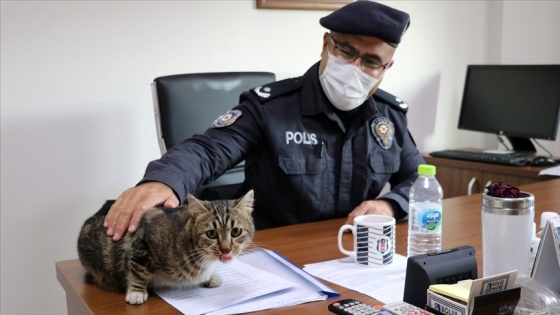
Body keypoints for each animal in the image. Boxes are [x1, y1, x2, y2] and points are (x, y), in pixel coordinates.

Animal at [77, 190, 256, 306]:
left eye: (236, 231)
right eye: (211, 233)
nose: (226, 249)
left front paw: (210, 277)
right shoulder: (142, 242)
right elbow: (138, 270)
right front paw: (136, 292)